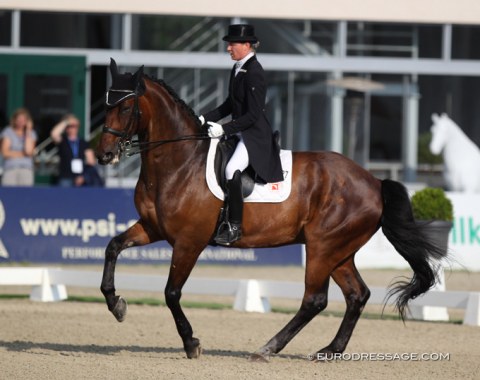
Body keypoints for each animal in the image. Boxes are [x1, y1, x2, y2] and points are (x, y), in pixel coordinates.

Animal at [96, 58, 446, 360]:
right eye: (106, 105)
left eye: (125, 106)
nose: (105, 155)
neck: (179, 162)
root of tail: (374, 182)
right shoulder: (152, 227)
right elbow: (112, 247)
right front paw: (117, 305)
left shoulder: (189, 241)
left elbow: (171, 292)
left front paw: (191, 342)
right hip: (339, 251)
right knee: (356, 295)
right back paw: (329, 350)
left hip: (323, 247)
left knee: (315, 300)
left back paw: (268, 348)